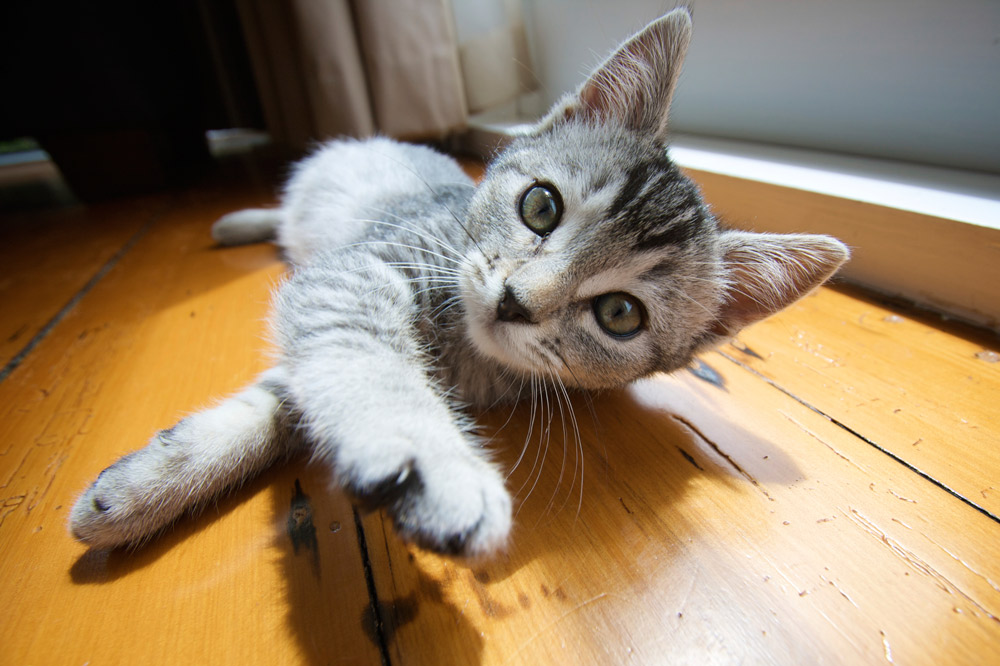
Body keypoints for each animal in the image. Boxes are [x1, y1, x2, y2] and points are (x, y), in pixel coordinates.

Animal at [70, 10, 848, 556]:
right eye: (541, 206)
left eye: (621, 315)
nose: (515, 301)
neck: (461, 348)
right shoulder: (358, 269)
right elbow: (357, 360)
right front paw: (425, 455)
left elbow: (290, 397)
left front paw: (143, 490)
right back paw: (238, 220)